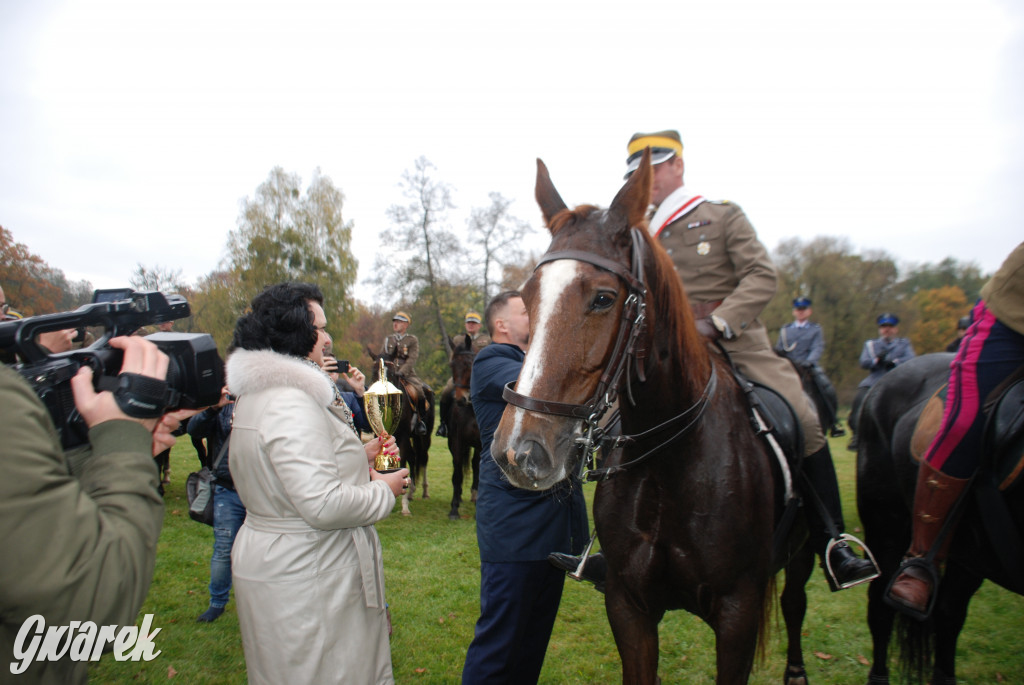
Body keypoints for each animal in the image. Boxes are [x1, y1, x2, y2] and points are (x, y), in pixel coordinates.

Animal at [368, 352, 432, 511]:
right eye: (373, 371)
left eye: (392, 373)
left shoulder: (403, 437)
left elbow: (402, 460)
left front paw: (404, 506)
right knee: (413, 457)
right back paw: (411, 491)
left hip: (424, 437)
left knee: (423, 458)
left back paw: (423, 491)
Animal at [491, 150, 819, 683]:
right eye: (528, 296)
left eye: (604, 298)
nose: (518, 452)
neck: (671, 467)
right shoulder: (629, 607)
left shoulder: (738, 614)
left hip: (803, 551)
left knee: (794, 602)